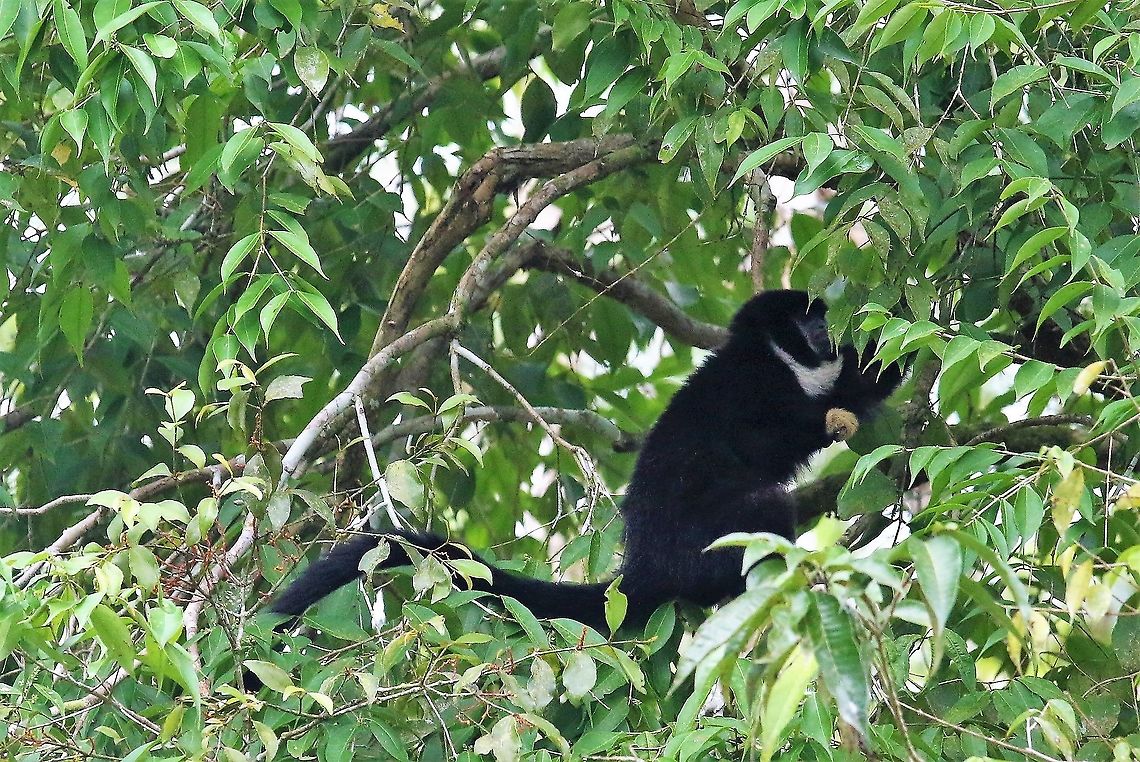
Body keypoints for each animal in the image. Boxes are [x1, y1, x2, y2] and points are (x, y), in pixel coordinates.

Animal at [256, 290, 903, 642]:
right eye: (809, 320)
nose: (826, 331)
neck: (772, 358)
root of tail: (646, 565)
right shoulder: (757, 384)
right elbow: (767, 439)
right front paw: (830, 417)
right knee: (761, 503)